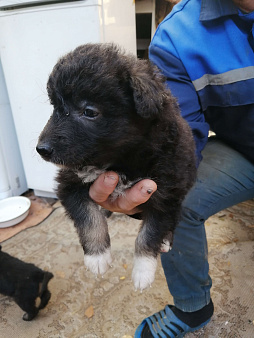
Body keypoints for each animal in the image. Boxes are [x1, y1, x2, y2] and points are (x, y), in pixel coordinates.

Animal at [36, 43, 196, 290]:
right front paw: (97, 256)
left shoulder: (164, 193)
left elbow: (150, 233)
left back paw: (166, 240)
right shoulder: (69, 183)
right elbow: (88, 217)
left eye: (89, 112)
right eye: (55, 107)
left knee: (173, 218)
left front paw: (143, 271)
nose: (41, 149)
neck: (120, 160)